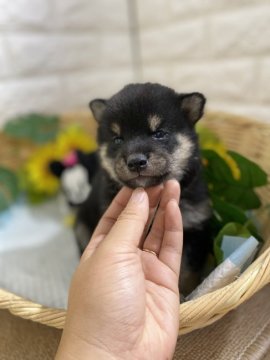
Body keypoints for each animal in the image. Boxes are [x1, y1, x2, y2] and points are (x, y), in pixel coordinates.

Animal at [75, 83, 212, 296]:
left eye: (159, 133)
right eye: (118, 139)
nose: (136, 162)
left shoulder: (195, 229)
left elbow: (188, 272)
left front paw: (187, 295)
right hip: (81, 227)